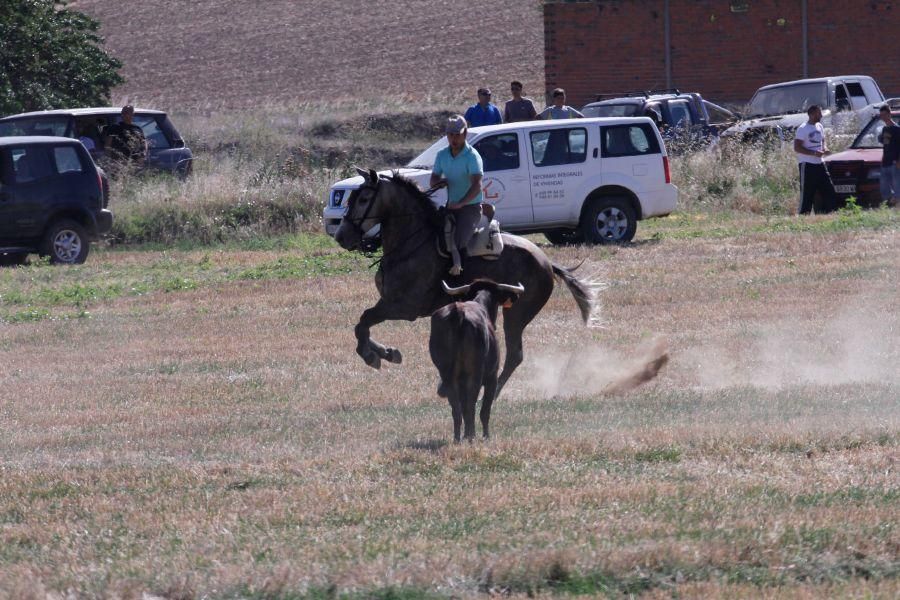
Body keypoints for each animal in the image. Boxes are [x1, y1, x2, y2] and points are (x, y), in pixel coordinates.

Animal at [334, 169, 596, 396]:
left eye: (363, 198)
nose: (341, 236)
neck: (411, 244)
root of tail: (546, 262)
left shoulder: (405, 307)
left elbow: (364, 321)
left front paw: (373, 356)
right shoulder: (387, 301)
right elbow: (362, 324)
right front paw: (387, 352)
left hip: (517, 313)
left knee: (515, 354)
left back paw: (491, 392)